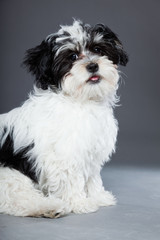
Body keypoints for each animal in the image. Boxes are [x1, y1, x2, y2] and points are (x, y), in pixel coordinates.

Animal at [0, 19, 128, 218]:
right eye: (73, 56)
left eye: (98, 49)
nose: (93, 65)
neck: (79, 100)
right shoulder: (64, 155)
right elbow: (71, 179)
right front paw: (80, 203)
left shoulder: (90, 150)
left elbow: (92, 176)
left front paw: (98, 197)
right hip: (9, 173)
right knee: (16, 197)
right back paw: (48, 207)